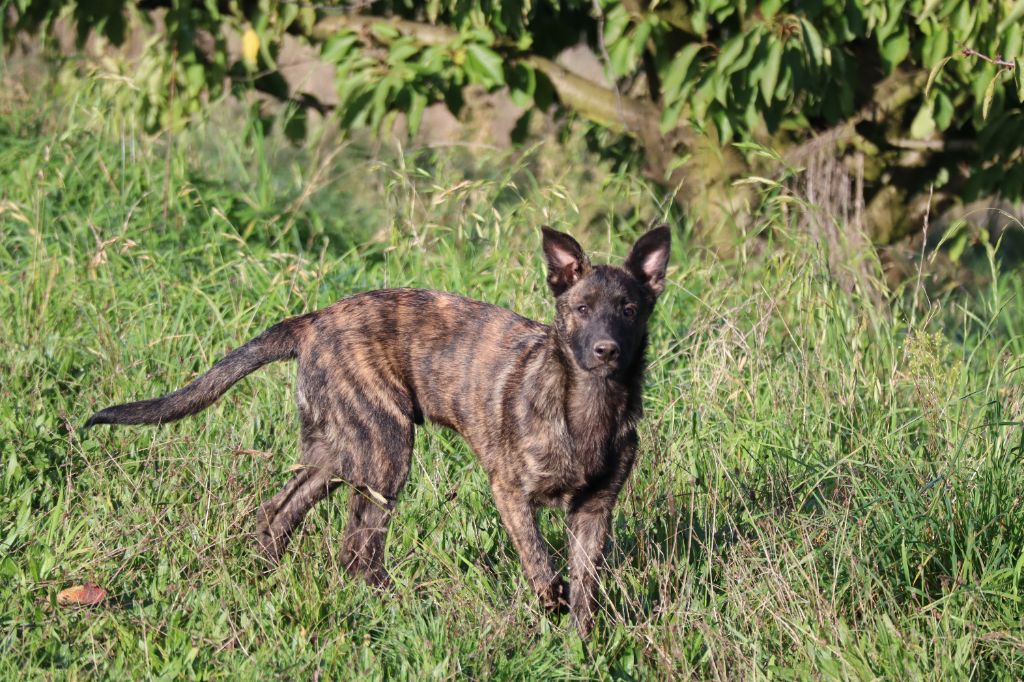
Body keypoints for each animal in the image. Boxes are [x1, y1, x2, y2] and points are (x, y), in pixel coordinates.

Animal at [86, 225, 671, 634]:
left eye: (629, 310)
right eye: (580, 308)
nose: (606, 350)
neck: (587, 405)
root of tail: (314, 319)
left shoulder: (594, 513)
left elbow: (584, 590)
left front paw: (579, 644)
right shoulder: (509, 491)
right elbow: (541, 566)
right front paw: (551, 607)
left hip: (340, 452)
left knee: (280, 514)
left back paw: (267, 578)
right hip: (387, 450)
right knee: (358, 550)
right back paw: (402, 608)